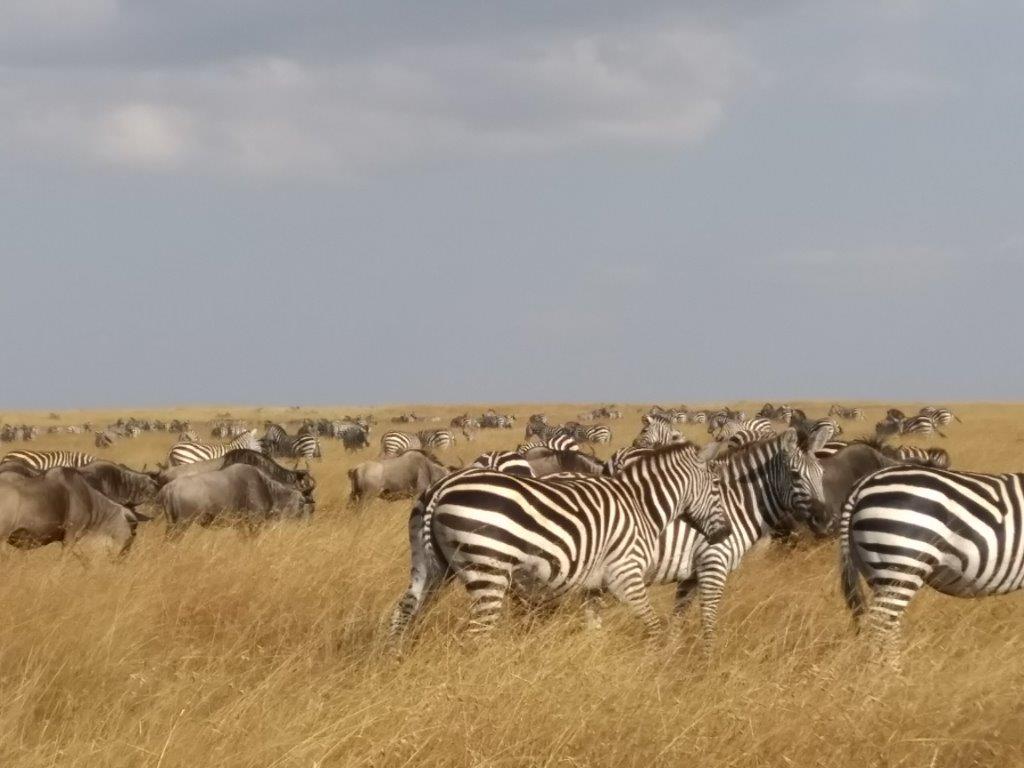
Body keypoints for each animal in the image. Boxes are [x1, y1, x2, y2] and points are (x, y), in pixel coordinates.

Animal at [387, 442, 729, 645]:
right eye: (715, 485)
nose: (725, 533)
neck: (640, 505)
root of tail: (442, 487)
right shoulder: (625, 574)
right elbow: (653, 625)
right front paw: (657, 665)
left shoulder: (594, 587)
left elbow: (594, 631)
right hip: (488, 570)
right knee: (477, 634)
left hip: (429, 566)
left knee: (404, 611)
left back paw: (395, 659)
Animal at [641, 428, 830, 649]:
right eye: (795, 475)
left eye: (822, 473)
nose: (826, 520)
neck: (731, 505)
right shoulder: (713, 566)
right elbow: (708, 622)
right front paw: (708, 657)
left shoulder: (690, 576)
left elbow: (677, 622)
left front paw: (669, 654)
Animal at [839, 464, 1024, 663]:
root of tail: (865, 482)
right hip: (903, 564)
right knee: (878, 627)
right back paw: (884, 671)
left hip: (877, 572)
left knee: (888, 625)